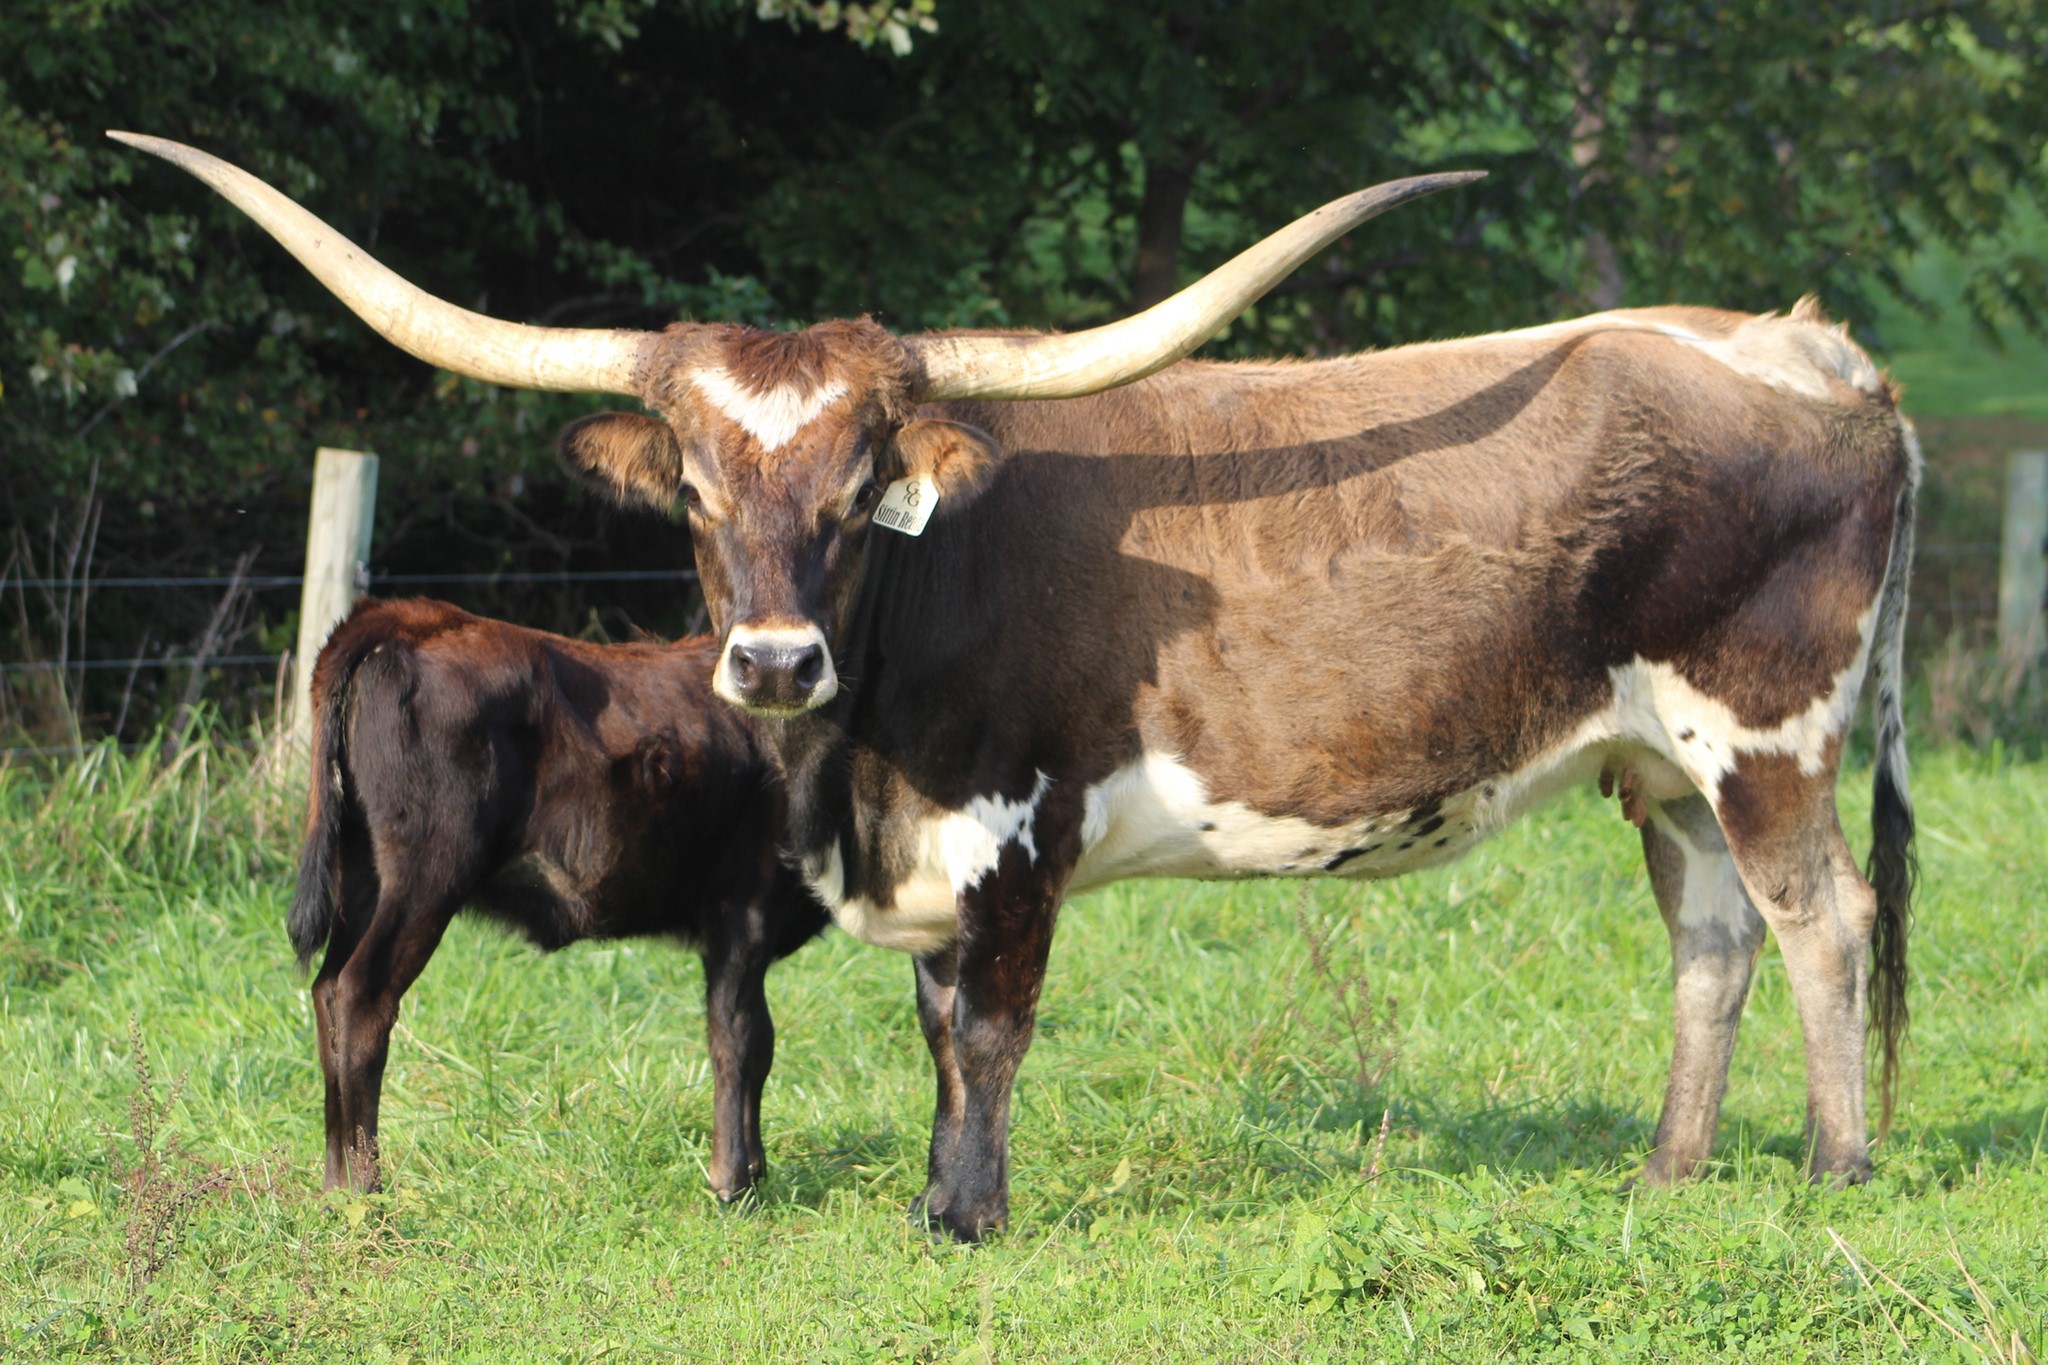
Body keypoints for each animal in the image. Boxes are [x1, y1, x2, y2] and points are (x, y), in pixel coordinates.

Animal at [291, 597, 828, 1199]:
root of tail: (409, 615)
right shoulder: (745, 909)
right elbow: (740, 1038)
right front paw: (733, 1182)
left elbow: (758, 1042)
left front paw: (755, 1172)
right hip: (426, 874)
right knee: (361, 997)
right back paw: (366, 1191)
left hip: (362, 874)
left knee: (327, 993)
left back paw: (335, 1187)